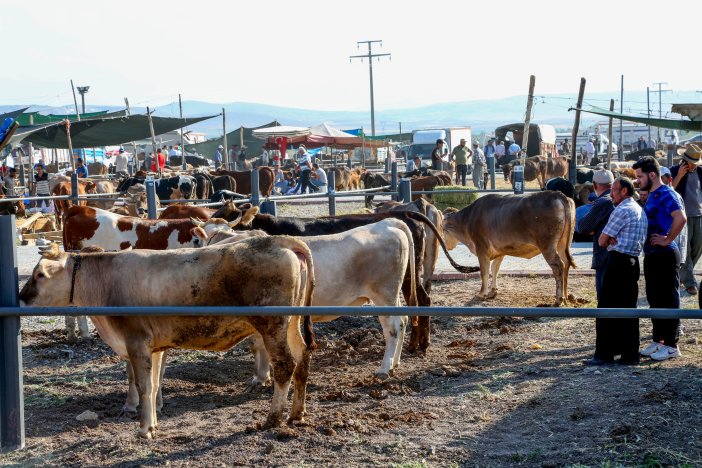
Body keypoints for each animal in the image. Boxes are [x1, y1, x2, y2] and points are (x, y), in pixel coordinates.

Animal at [19, 239, 318, 440]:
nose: (21, 297)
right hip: (291, 324)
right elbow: (153, 385)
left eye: (40, 275)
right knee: (303, 356)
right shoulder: (154, 347)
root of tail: (278, 240)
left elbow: (142, 386)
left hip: (272, 325)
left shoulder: (137, 342)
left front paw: (143, 430)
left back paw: (272, 418)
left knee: (285, 364)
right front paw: (151, 424)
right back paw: (297, 414)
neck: (105, 282)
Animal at [192, 218, 418, 380]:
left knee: (392, 328)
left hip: (383, 294)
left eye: (196, 240)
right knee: (403, 321)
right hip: (392, 295)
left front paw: (260, 377)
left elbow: (258, 345)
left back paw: (384, 368)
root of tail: (386, 224)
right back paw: (395, 363)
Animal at [446, 191, 576, 306]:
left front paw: (482, 293)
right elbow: (495, 269)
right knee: (566, 263)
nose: (446, 245)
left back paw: (559, 299)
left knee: (558, 266)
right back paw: (566, 297)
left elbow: (485, 271)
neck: (467, 219)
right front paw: (492, 291)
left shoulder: (481, 248)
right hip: (563, 243)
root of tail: (556, 194)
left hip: (547, 245)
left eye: (443, 229)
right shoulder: (500, 250)